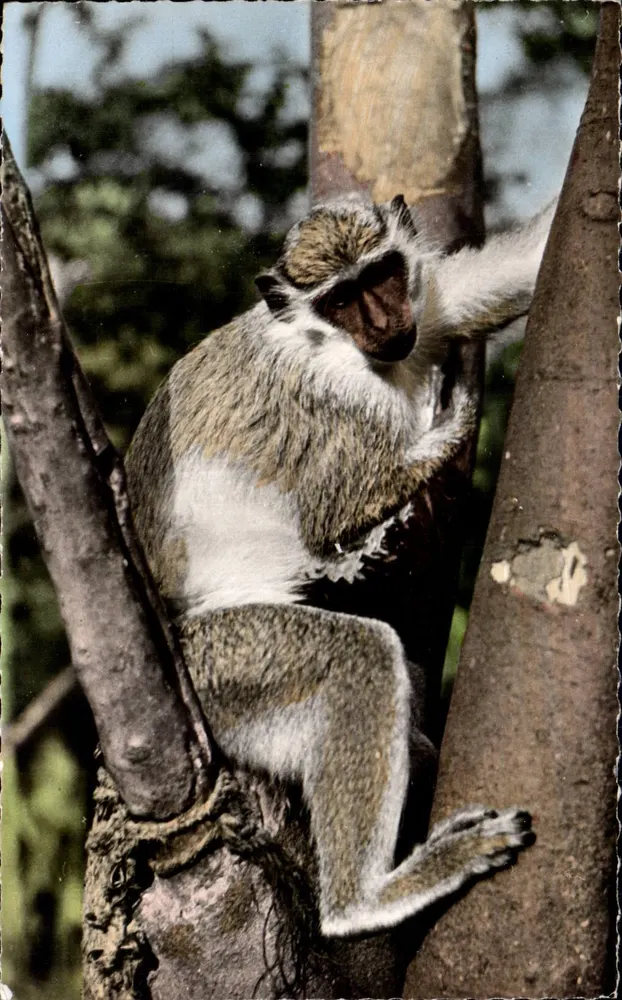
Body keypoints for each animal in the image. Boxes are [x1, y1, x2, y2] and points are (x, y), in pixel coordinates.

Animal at [125, 193, 554, 937]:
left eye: (381, 277)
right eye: (342, 300)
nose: (384, 322)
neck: (341, 348)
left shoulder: (428, 303)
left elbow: (508, 275)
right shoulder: (339, 404)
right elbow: (333, 512)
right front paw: (452, 415)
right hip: (217, 669)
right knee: (358, 659)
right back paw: (367, 899)